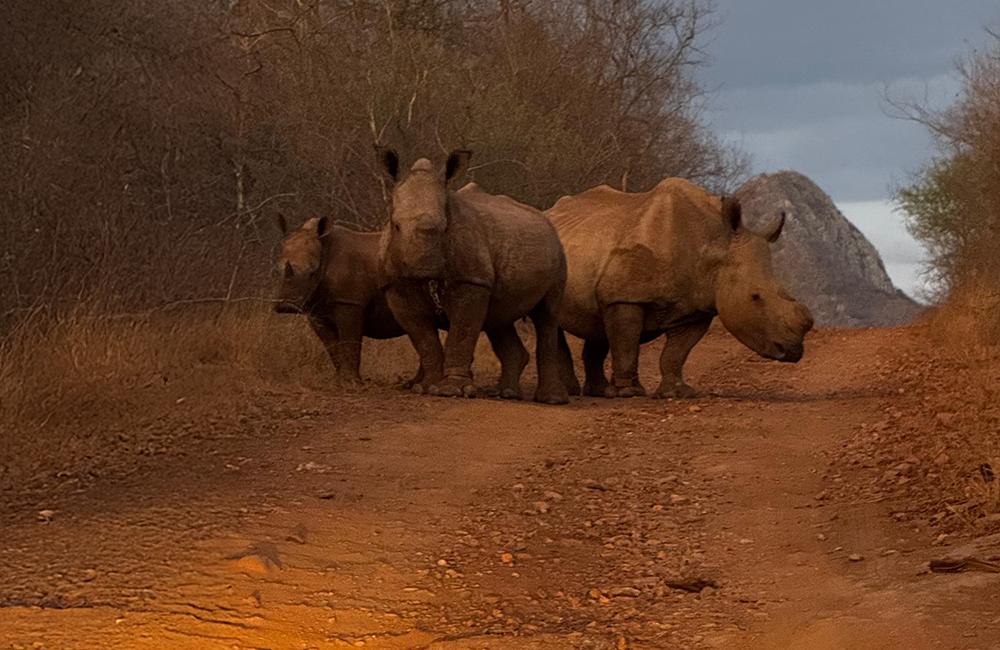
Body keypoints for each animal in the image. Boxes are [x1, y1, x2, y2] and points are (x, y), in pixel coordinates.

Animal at [548, 180, 812, 398]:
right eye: (755, 297)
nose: (792, 351)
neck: (712, 243)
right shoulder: (625, 296)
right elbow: (626, 344)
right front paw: (629, 393)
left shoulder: (698, 306)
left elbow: (676, 353)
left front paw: (677, 393)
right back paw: (573, 391)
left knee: (597, 324)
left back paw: (598, 391)